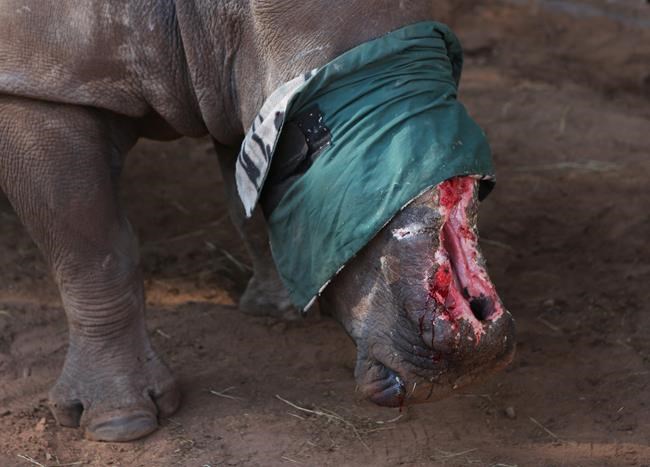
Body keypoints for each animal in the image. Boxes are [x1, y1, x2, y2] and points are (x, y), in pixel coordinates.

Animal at [0, 0, 515, 442]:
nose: (475, 361)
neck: (216, 16)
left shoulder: (234, 77)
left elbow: (245, 199)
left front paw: (278, 309)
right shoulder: (43, 88)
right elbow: (93, 250)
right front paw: (121, 426)